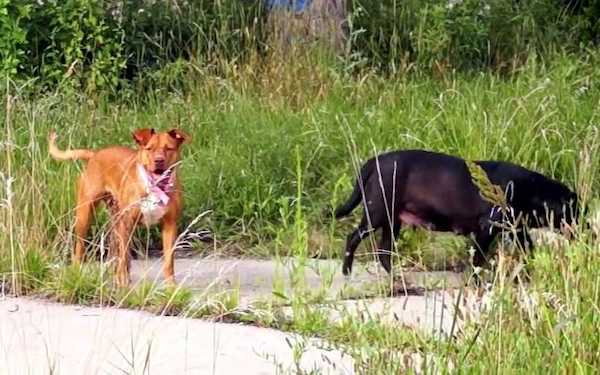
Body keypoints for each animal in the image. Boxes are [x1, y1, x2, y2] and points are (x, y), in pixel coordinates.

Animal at [49, 128, 190, 286]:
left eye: (169, 148)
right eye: (149, 148)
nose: (159, 160)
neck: (152, 185)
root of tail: (95, 154)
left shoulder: (170, 225)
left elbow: (169, 260)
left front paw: (171, 285)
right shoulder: (126, 222)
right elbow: (123, 255)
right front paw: (122, 281)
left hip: (115, 220)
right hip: (85, 216)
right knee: (80, 247)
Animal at [336, 150, 580, 276]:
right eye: (575, 211)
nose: (585, 227)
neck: (531, 190)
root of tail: (374, 161)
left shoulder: (516, 230)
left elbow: (528, 249)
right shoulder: (487, 228)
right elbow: (478, 259)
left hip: (392, 221)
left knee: (384, 251)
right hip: (377, 213)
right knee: (353, 238)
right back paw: (347, 272)